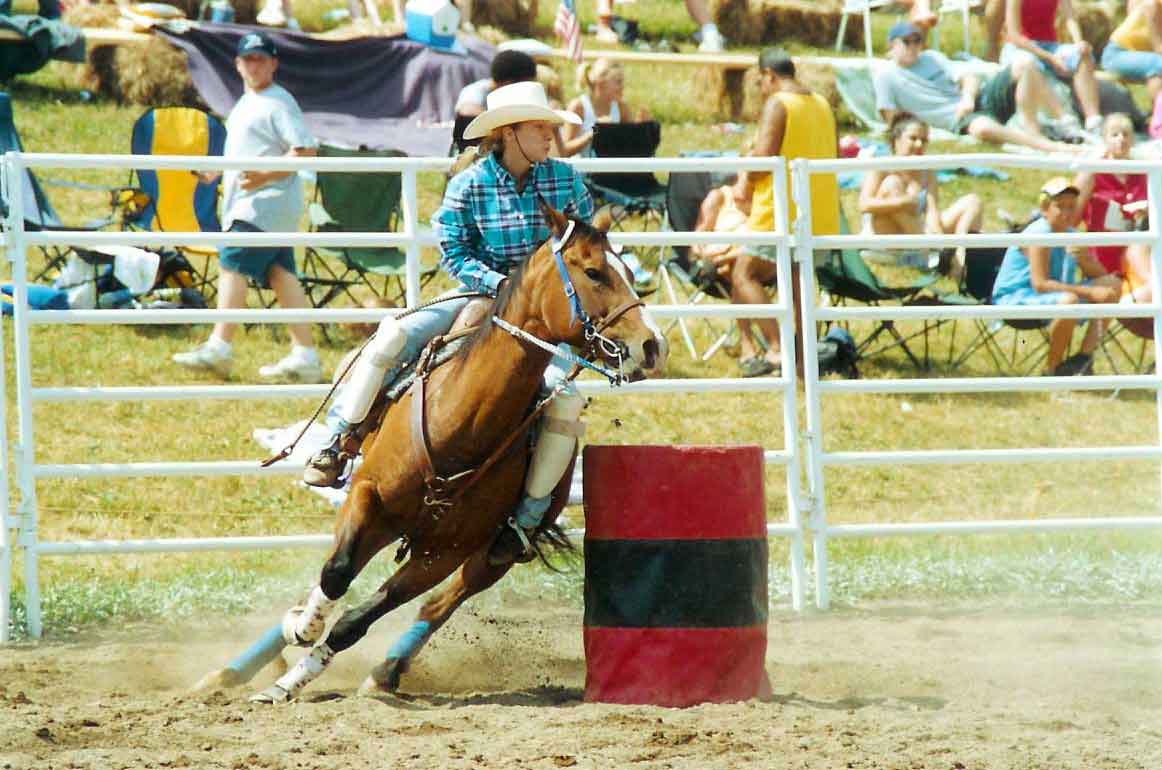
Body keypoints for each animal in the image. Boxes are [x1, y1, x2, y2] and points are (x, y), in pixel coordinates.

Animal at [244, 199, 664, 706]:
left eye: (629, 271)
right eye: (594, 272)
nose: (651, 345)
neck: (461, 424)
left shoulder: (443, 554)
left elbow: (357, 621)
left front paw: (291, 679)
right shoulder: (367, 498)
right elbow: (337, 572)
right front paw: (301, 632)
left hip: (491, 556)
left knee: (442, 603)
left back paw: (385, 671)